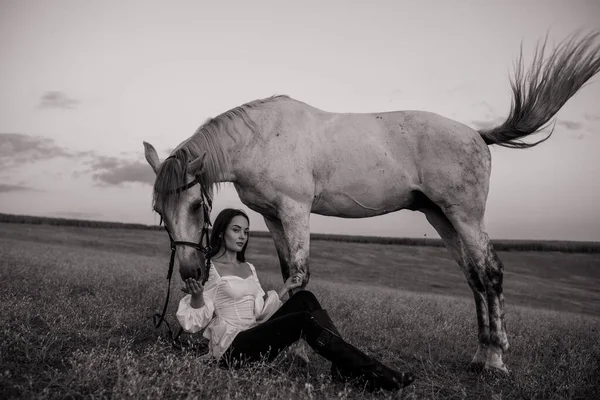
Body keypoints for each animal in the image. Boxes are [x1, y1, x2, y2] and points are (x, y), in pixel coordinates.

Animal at [144, 31, 600, 372]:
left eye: (195, 207)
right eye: (160, 214)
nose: (190, 271)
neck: (261, 138)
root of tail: (478, 134)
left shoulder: (295, 210)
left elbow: (299, 277)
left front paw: (292, 348)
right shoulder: (273, 216)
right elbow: (288, 273)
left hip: (466, 215)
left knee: (490, 272)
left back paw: (496, 360)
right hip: (441, 218)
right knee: (473, 276)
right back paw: (480, 353)